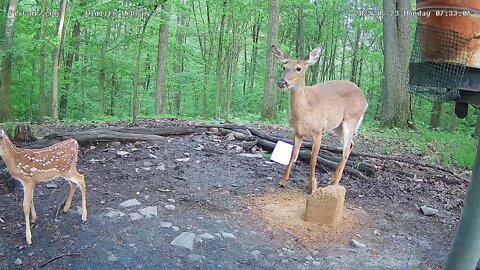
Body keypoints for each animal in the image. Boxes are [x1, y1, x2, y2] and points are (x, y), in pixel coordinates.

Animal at [274, 46, 368, 194]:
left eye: (299, 68)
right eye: (284, 66)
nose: (281, 82)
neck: (305, 112)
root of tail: (365, 99)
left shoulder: (318, 131)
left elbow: (313, 160)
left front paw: (313, 186)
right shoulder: (297, 132)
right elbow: (293, 154)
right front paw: (283, 181)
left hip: (351, 119)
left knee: (345, 150)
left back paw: (335, 182)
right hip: (338, 126)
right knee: (351, 144)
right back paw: (333, 177)